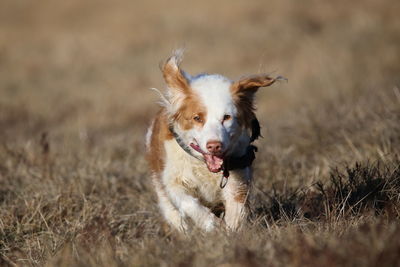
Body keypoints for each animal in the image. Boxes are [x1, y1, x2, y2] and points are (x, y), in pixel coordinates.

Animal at [145, 50, 280, 232]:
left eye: (227, 117)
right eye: (197, 118)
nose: (214, 146)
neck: (205, 166)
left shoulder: (238, 175)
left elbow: (236, 209)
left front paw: (232, 230)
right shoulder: (174, 180)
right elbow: (189, 203)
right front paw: (212, 225)